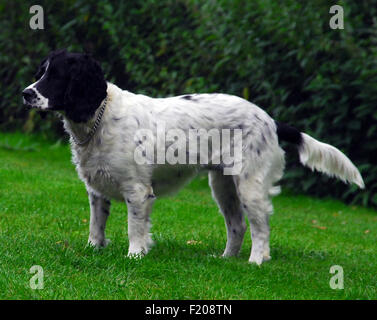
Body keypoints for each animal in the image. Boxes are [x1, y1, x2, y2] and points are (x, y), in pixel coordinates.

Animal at [22, 50, 362, 264]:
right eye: (40, 73)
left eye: (57, 76)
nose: (26, 93)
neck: (98, 118)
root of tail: (270, 120)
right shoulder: (96, 191)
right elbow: (97, 225)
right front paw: (94, 249)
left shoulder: (138, 191)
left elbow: (135, 228)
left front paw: (135, 255)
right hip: (222, 185)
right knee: (238, 225)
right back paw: (226, 259)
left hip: (248, 185)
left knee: (261, 225)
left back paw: (256, 261)